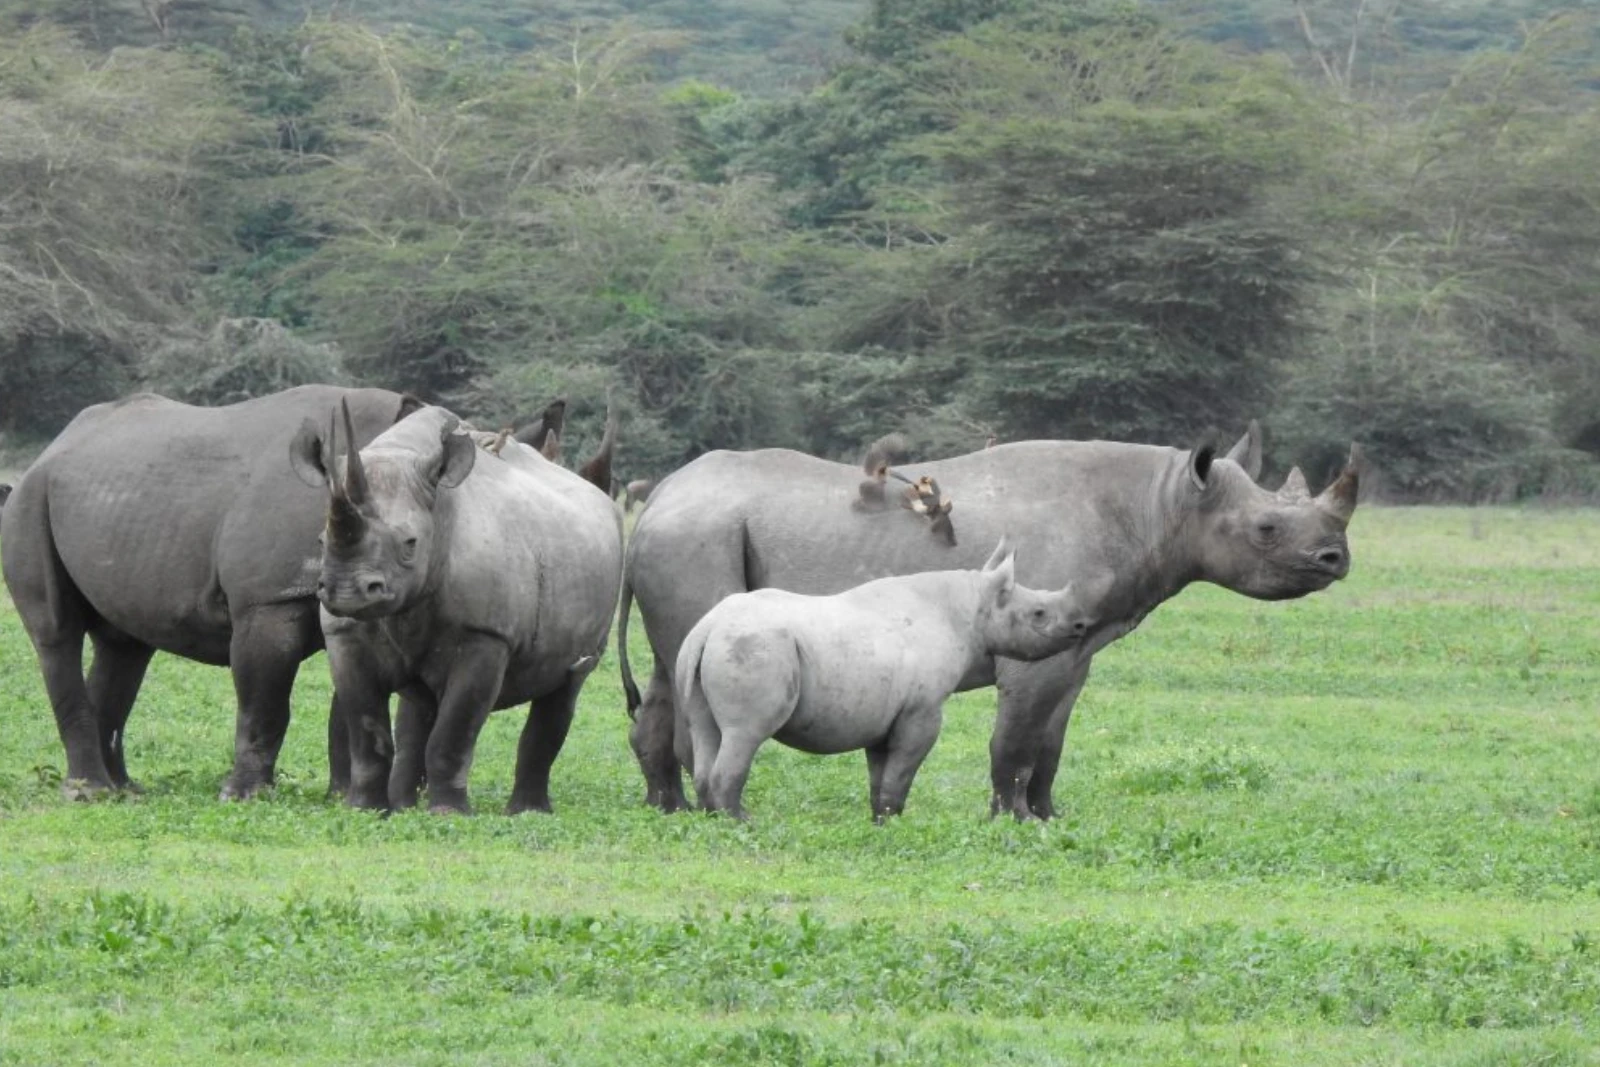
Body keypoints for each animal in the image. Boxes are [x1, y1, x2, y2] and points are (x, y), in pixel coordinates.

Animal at [0, 385, 419, 798]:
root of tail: (52, 446)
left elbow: (349, 698)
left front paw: (341, 798)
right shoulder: (266, 598)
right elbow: (264, 700)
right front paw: (244, 796)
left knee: (124, 646)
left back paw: (124, 792)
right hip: (29, 500)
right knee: (57, 633)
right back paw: (90, 794)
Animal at [291, 403, 623, 814]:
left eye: (410, 544)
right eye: (321, 540)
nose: (348, 591)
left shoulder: (486, 635)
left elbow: (454, 732)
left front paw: (449, 814)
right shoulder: (345, 634)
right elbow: (367, 732)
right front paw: (366, 810)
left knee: (569, 681)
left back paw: (528, 813)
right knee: (420, 706)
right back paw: (404, 805)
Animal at [680, 539, 1107, 821]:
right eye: (1039, 614)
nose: (1081, 625)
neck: (971, 606)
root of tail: (709, 627)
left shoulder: (883, 712)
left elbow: (879, 774)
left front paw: (879, 821)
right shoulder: (921, 710)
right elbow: (902, 771)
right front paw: (896, 821)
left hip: (704, 650)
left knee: (706, 729)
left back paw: (711, 819)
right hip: (756, 647)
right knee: (746, 733)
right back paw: (743, 822)